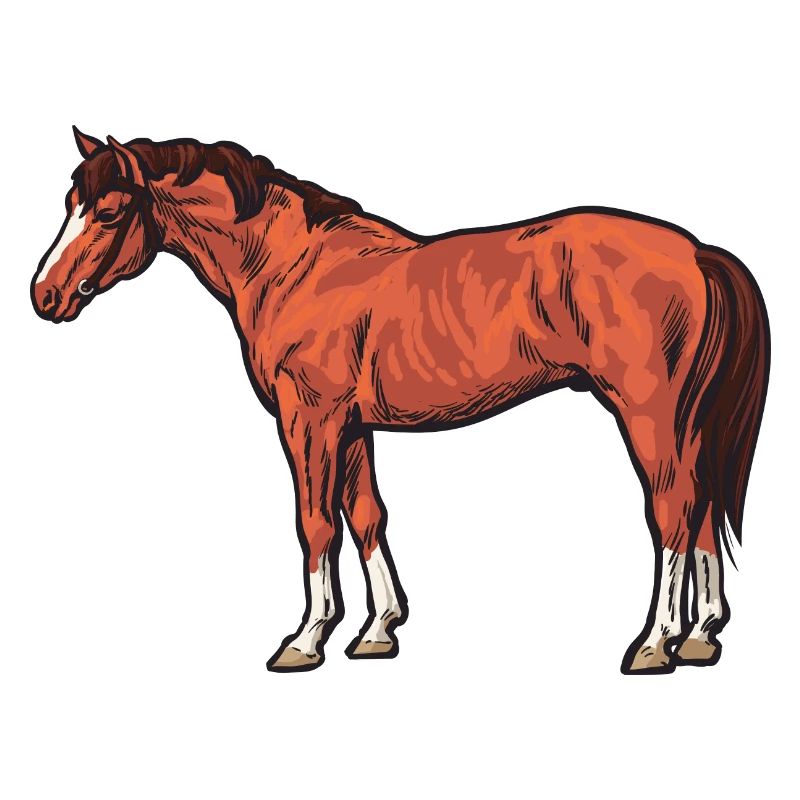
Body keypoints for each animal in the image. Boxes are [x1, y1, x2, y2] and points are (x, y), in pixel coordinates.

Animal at [31, 128, 770, 674]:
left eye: (108, 210)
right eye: (69, 202)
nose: (44, 295)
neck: (293, 267)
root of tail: (698, 252)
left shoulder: (309, 420)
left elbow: (315, 523)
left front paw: (305, 640)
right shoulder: (352, 427)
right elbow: (366, 516)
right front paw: (377, 631)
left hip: (648, 413)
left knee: (672, 511)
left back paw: (655, 642)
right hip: (685, 421)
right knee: (702, 508)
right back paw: (700, 636)